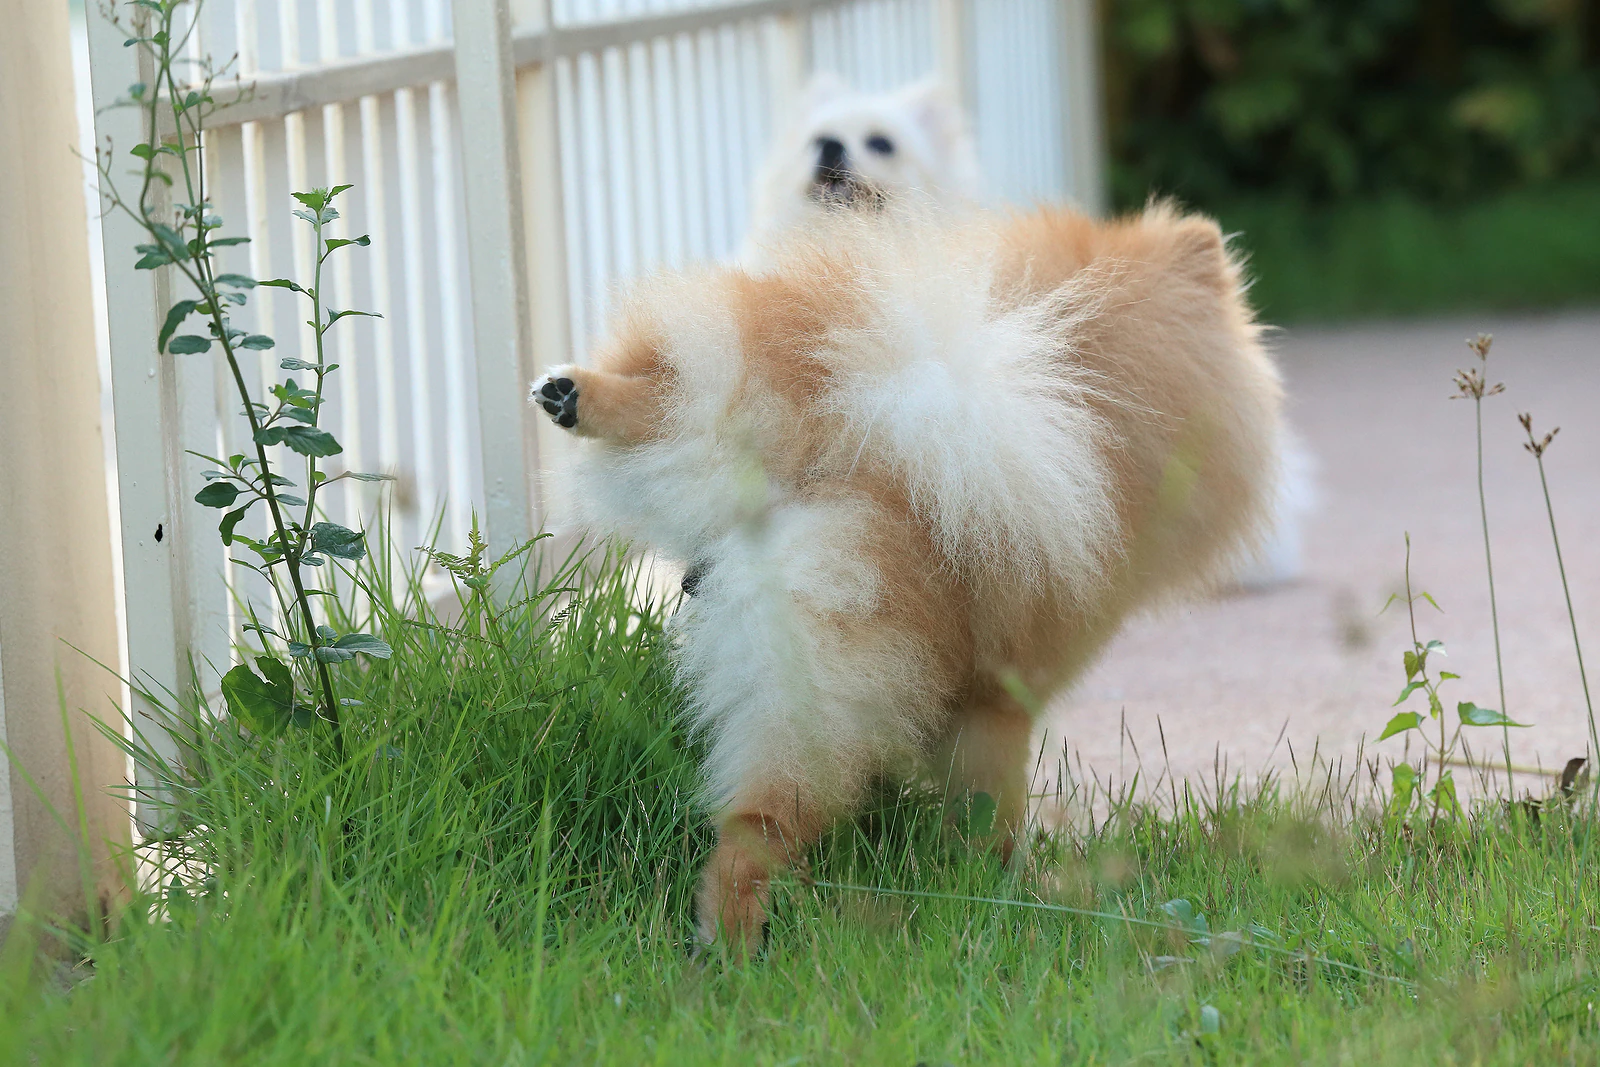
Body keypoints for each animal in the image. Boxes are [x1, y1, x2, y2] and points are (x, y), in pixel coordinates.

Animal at [537, 199, 1286, 953]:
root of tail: (811, 442)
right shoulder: (999, 699)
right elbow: (992, 806)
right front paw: (1004, 882)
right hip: (822, 690)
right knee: (762, 830)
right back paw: (738, 946)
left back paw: (576, 394)